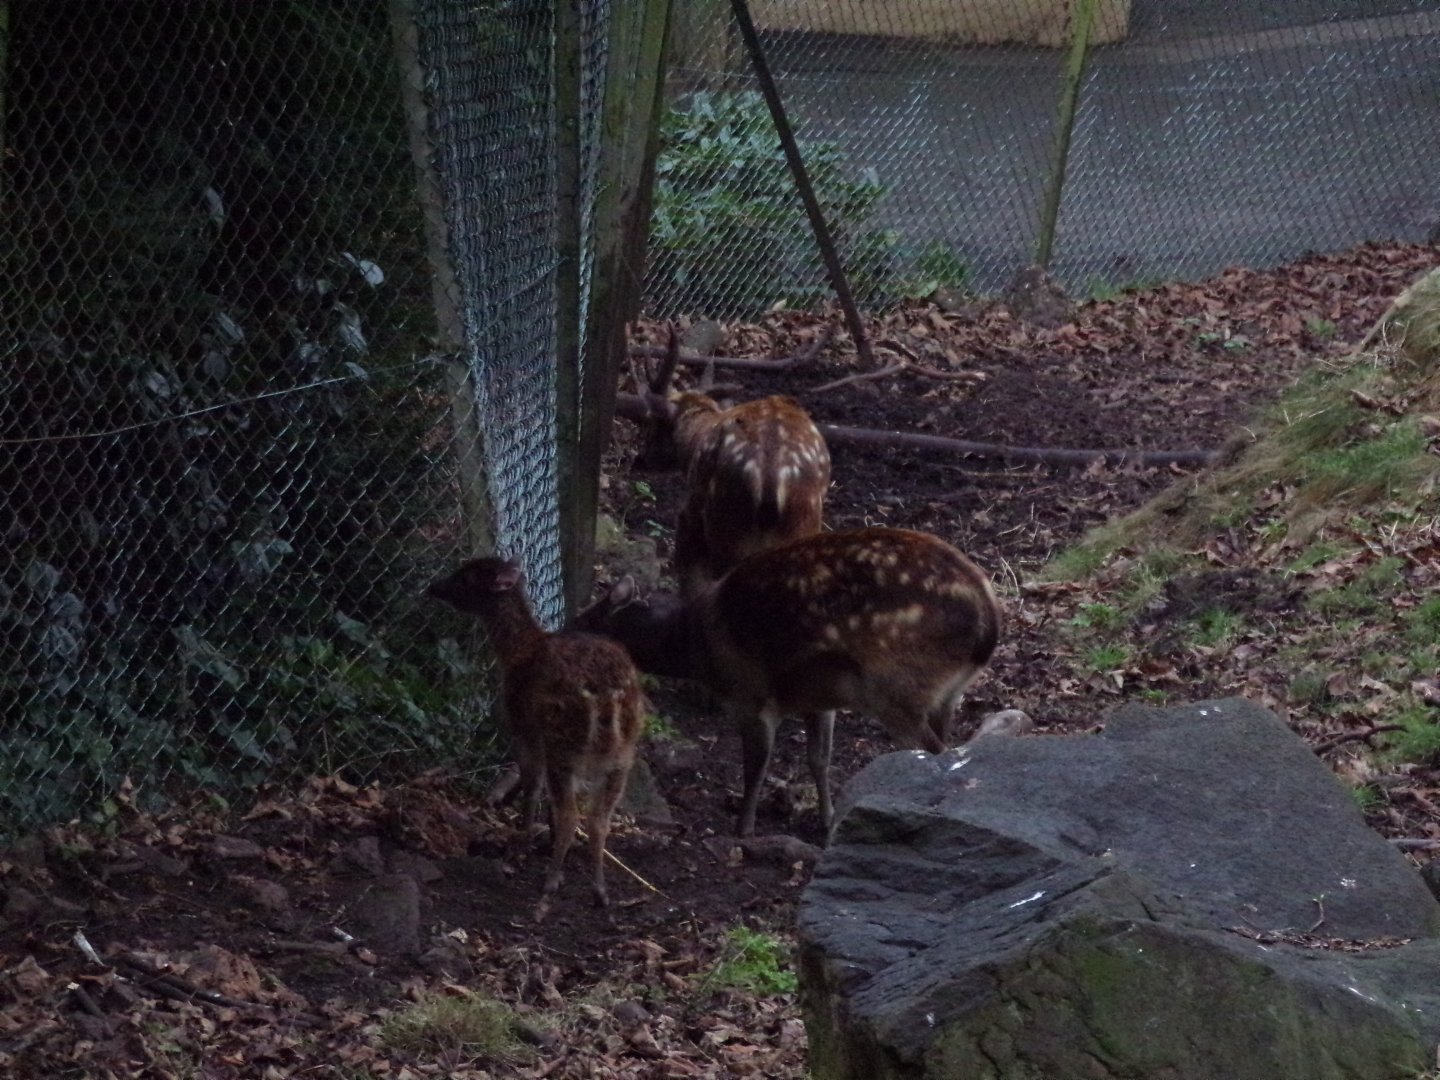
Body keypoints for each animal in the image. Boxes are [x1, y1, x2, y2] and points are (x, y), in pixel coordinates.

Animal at [427, 557, 647, 919]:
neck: (518, 651)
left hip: (564, 745)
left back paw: (550, 883)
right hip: (621, 758)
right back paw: (600, 892)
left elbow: (532, 789)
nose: (434, 587)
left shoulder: (524, 730)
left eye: (467, 577)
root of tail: (609, 700)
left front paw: (521, 844)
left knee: (572, 815)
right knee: (599, 820)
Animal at [573, 526, 1001, 838]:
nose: (564, 629)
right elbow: (818, 759)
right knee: (950, 745)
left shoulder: (749, 693)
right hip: (945, 694)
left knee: (936, 750)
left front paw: (743, 828)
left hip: (896, 687)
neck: (698, 646)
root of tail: (988, 625)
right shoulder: (821, 699)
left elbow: (757, 763)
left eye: (590, 619)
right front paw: (827, 823)